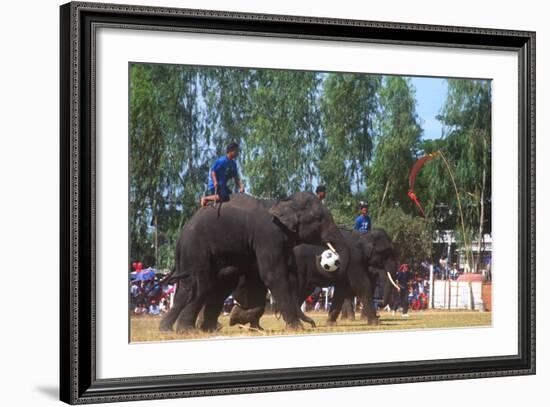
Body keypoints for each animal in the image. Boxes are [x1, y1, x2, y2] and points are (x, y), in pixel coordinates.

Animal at [162, 193, 352, 334]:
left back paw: (179, 329)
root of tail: (181, 234)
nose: (313, 324)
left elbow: (259, 279)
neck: (283, 202)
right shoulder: (268, 236)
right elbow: (272, 276)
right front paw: (296, 328)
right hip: (196, 249)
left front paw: (240, 318)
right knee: (201, 285)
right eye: (319, 219)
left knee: (197, 287)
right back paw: (188, 331)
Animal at [229, 228, 402, 330]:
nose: (381, 309)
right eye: (387, 252)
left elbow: (341, 290)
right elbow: (361, 285)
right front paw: (375, 323)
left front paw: (330, 323)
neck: (363, 235)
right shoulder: (355, 260)